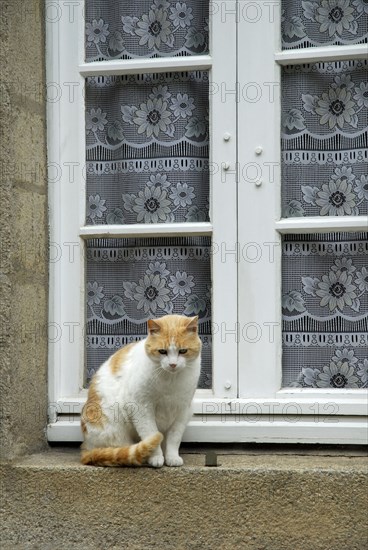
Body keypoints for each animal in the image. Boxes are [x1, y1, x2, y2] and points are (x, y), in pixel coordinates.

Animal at [81, 316, 201, 468]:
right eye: (162, 351)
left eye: (183, 351)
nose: (173, 364)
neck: (170, 380)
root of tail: (86, 447)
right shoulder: (141, 408)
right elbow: (150, 434)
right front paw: (156, 457)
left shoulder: (183, 410)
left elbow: (174, 438)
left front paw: (172, 457)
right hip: (115, 426)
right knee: (124, 450)